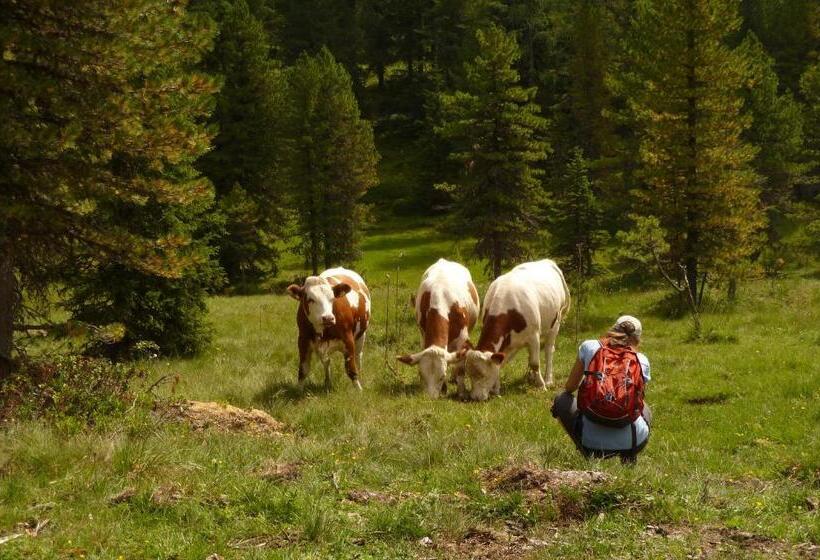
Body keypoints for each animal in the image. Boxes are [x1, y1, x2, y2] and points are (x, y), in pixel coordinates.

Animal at [396, 259, 480, 398]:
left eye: (442, 376)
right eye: (421, 375)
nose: (430, 398)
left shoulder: (462, 339)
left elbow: (460, 367)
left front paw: (461, 393)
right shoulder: (423, 335)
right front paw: (444, 388)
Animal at [461, 259, 570, 401]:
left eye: (483, 375)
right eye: (469, 374)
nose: (475, 397)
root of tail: (548, 261)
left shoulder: (533, 336)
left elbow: (535, 363)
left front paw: (541, 386)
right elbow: (500, 364)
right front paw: (496, 390)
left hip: (555, 323)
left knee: (548, 350)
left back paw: (548, 380)